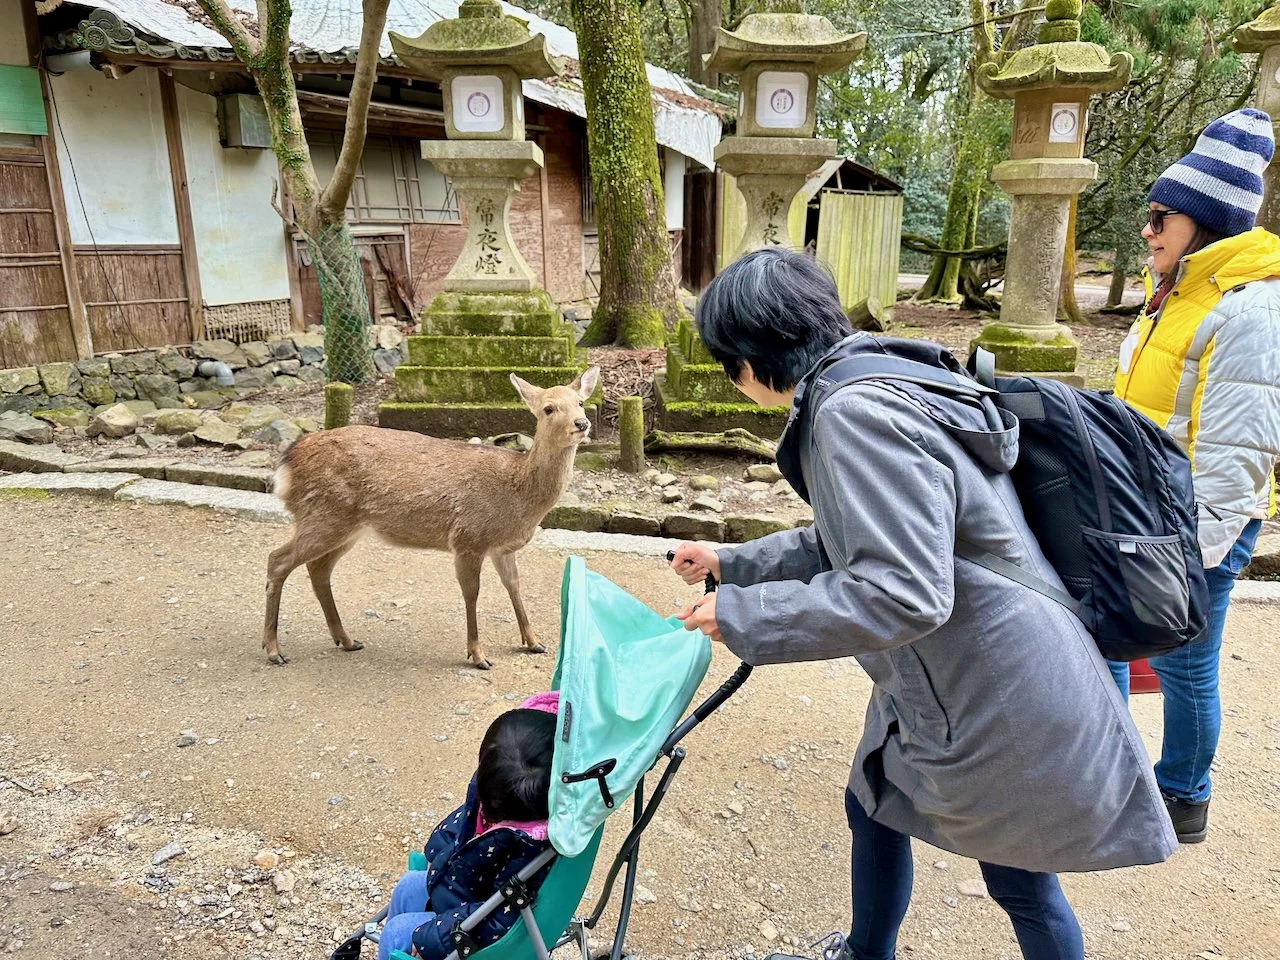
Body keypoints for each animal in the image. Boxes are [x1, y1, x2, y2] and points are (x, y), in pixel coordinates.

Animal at [263, 367, 600, 669]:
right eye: (548, 408)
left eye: (580, 402)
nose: (582, 423)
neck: (518, 498)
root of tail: (286, 465)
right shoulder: (468, 538)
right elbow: (472, 593)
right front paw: (478, 655)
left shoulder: (502, 548)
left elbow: (514, 586)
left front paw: (534, 642)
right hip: (323, 515)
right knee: (277, 559)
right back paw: (273, 650)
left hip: (346, 527)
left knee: (318, 568)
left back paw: (346, 639)